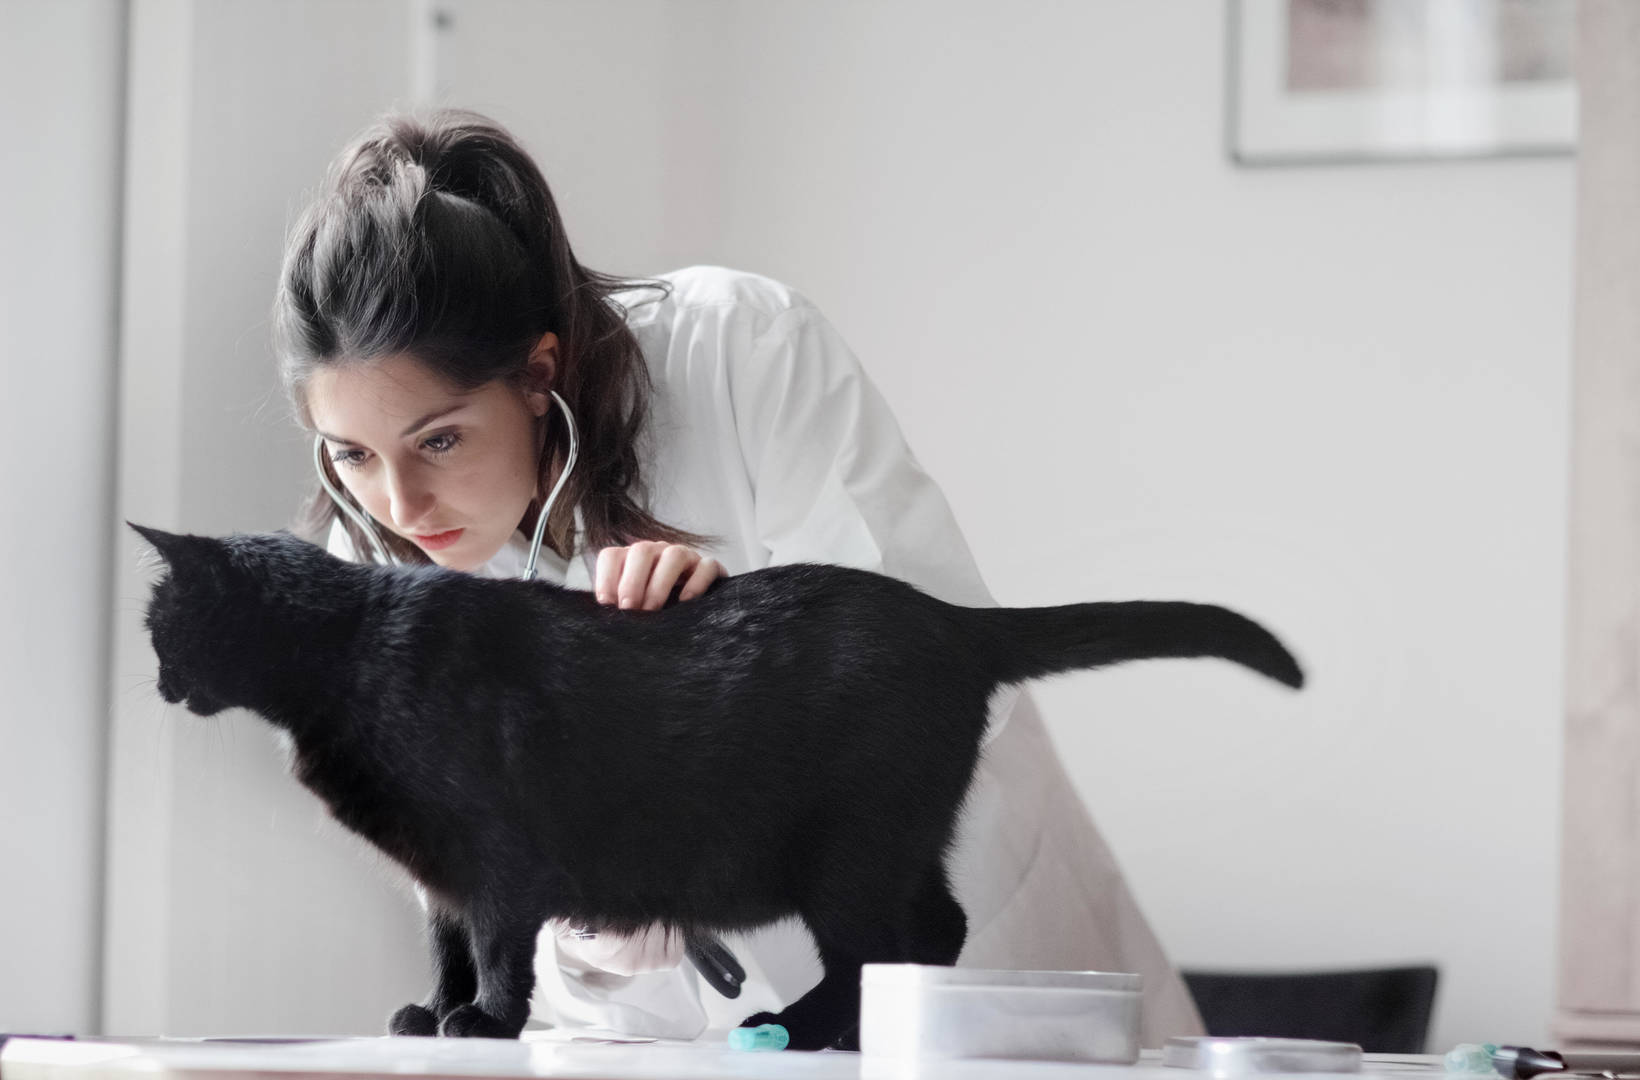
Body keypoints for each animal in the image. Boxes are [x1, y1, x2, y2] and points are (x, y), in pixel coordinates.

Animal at [134, 524, 1298, 1048]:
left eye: (155, 627)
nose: (152, 682)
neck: (348, 653)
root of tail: (949, 619)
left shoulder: (496, 860)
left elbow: (501, 946)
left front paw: (488, 1024)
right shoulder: (436, 879)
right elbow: (451, 946)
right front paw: (433, 1012)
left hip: (848, 854)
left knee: (894, 938)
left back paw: (808, 1028)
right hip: (891, 844)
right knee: (938, 925)